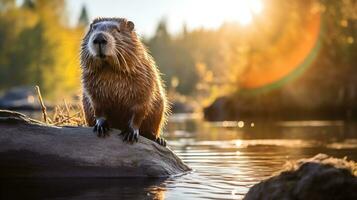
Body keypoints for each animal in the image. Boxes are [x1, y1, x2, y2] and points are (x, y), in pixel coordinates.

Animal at [80, 17, 168, 146]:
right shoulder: (91, 85)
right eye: (92, 28)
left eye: (117, 30)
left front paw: (130, 133)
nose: (99, 38)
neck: (109, 70)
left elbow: (140, 108)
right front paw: (101, 127)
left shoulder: (145, 80)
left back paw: (159, 140)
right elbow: (98, 106)